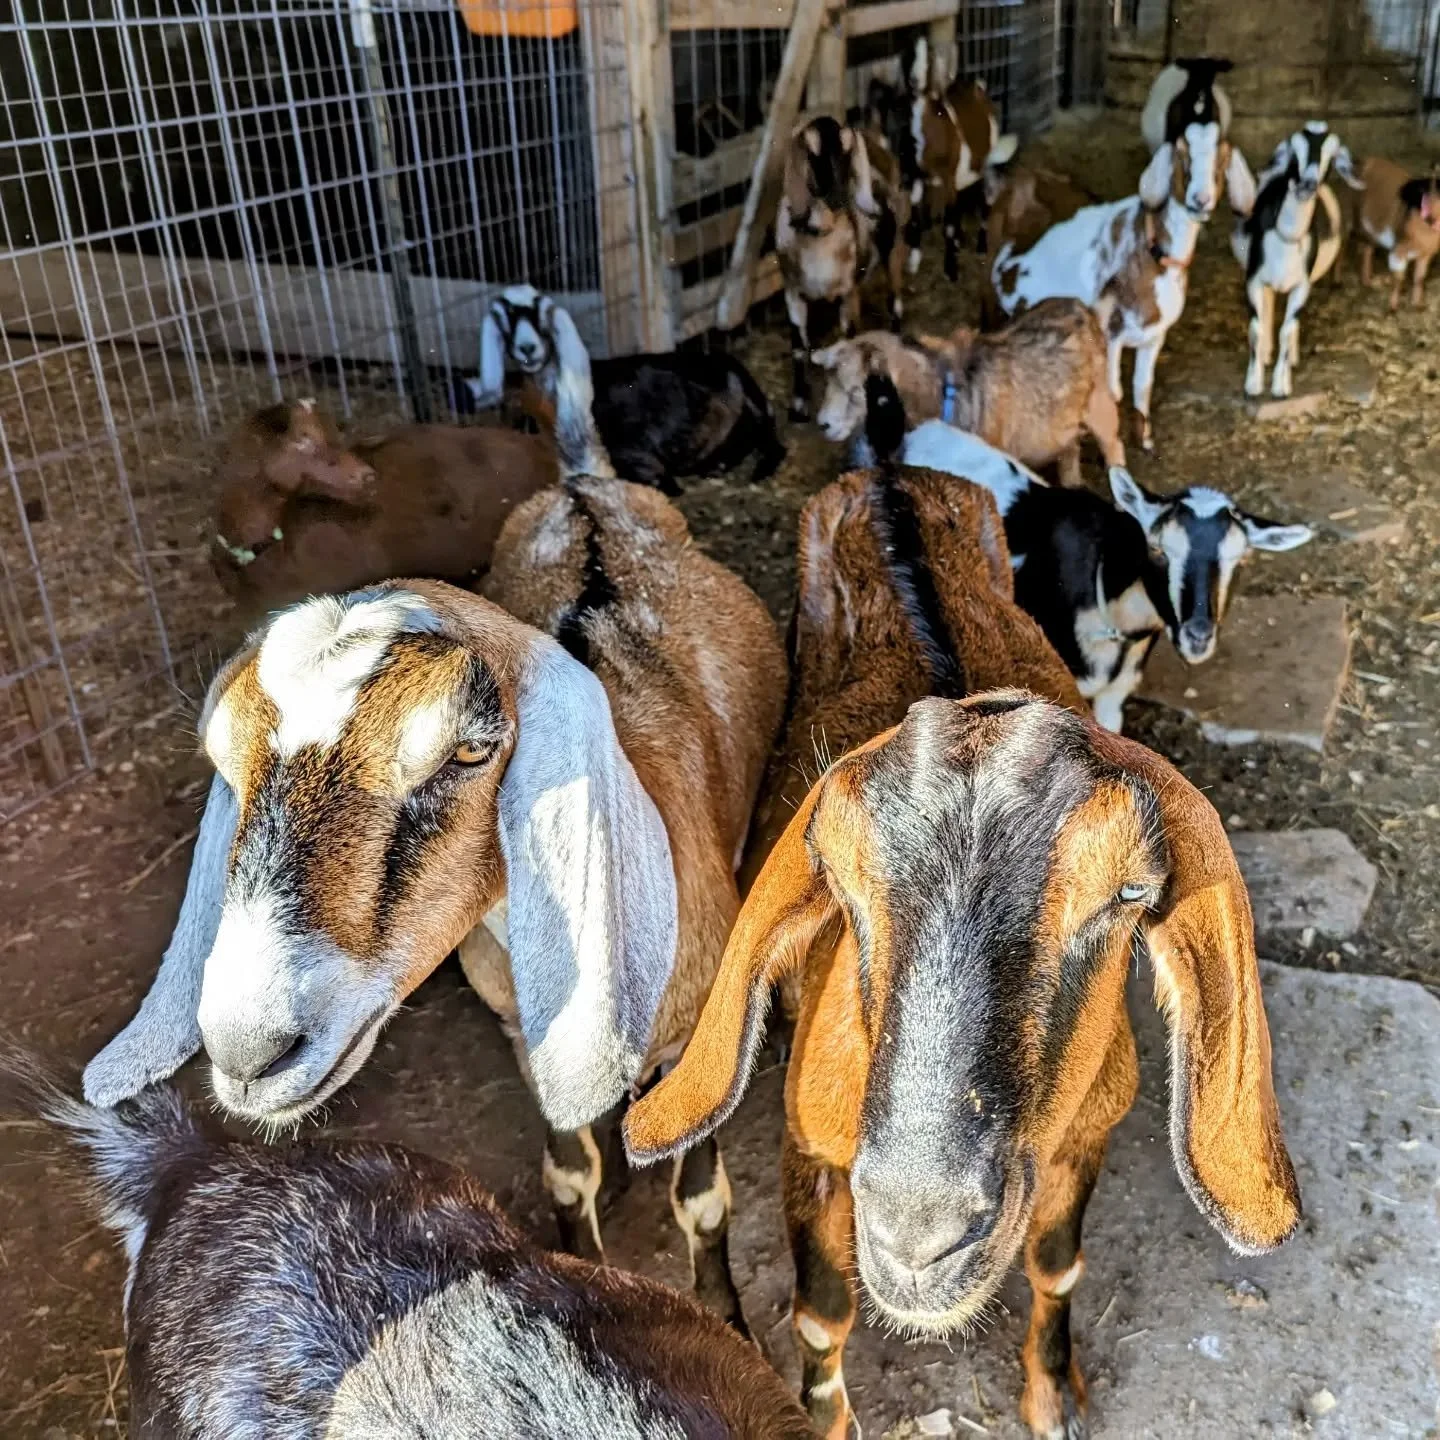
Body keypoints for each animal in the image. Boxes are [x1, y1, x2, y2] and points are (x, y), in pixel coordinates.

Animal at [812, 297, 1124, 483]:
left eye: (856, 390)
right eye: (829, 383)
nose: (823, 424)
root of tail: (1086, 310)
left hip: (1101, 409)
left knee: (1115, 448)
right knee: (1070, 453)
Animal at [992, 133, 1257, 451]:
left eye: (1221, 160)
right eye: (1183, 156)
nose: (1200, 199)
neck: (1151, 250)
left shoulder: (1155, 336)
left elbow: (1142, 387)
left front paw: (1145, 441)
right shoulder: (1110, 336)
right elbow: (1114, 392)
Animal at [1232, 121, 1364, 398]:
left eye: (1331, 158)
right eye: (1294, 153)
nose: (1308, 184)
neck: (1287, 238)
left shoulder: (1302, 286)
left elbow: (1287, 329)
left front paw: (1281, 386)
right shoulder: (1253, 281)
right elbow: (1256, 328)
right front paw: (1253, 383)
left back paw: (1291, 359)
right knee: (1269, 306)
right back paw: (1266, 354)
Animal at [1353, 156, 1440, 310]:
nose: (1432, 219)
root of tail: (1368, 159)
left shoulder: (1426, 254)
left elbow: (1420, 278)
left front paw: (1417, 304)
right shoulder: (1399, 250)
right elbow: (1398, 278)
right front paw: (1392, 307)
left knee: (1368, 248)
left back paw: (1367, 280)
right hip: (1359, 217)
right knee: (1363, 247)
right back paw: (1364, 280)